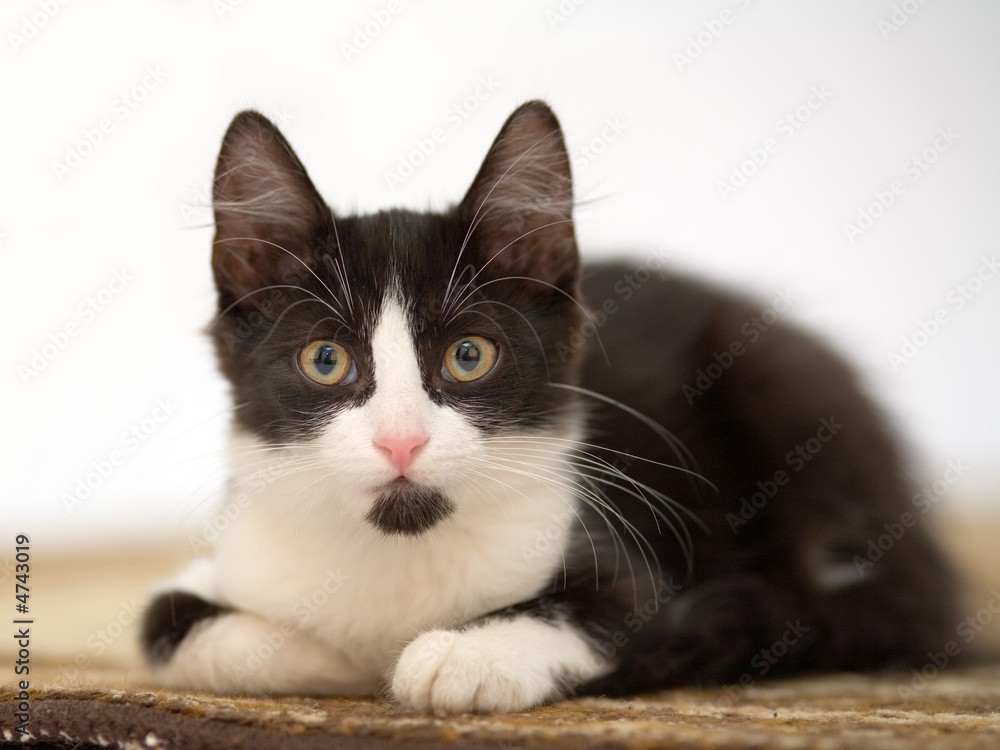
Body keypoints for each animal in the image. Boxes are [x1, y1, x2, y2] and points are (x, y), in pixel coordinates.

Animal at [141, 103, 952, 712]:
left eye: (469, 356)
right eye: (325, 361)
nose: (401, 441)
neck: (397, 550)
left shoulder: (635, 567)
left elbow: (608, 615)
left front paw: (458, 655)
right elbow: (163, 621)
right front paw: (331, 657)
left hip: (784, 380)